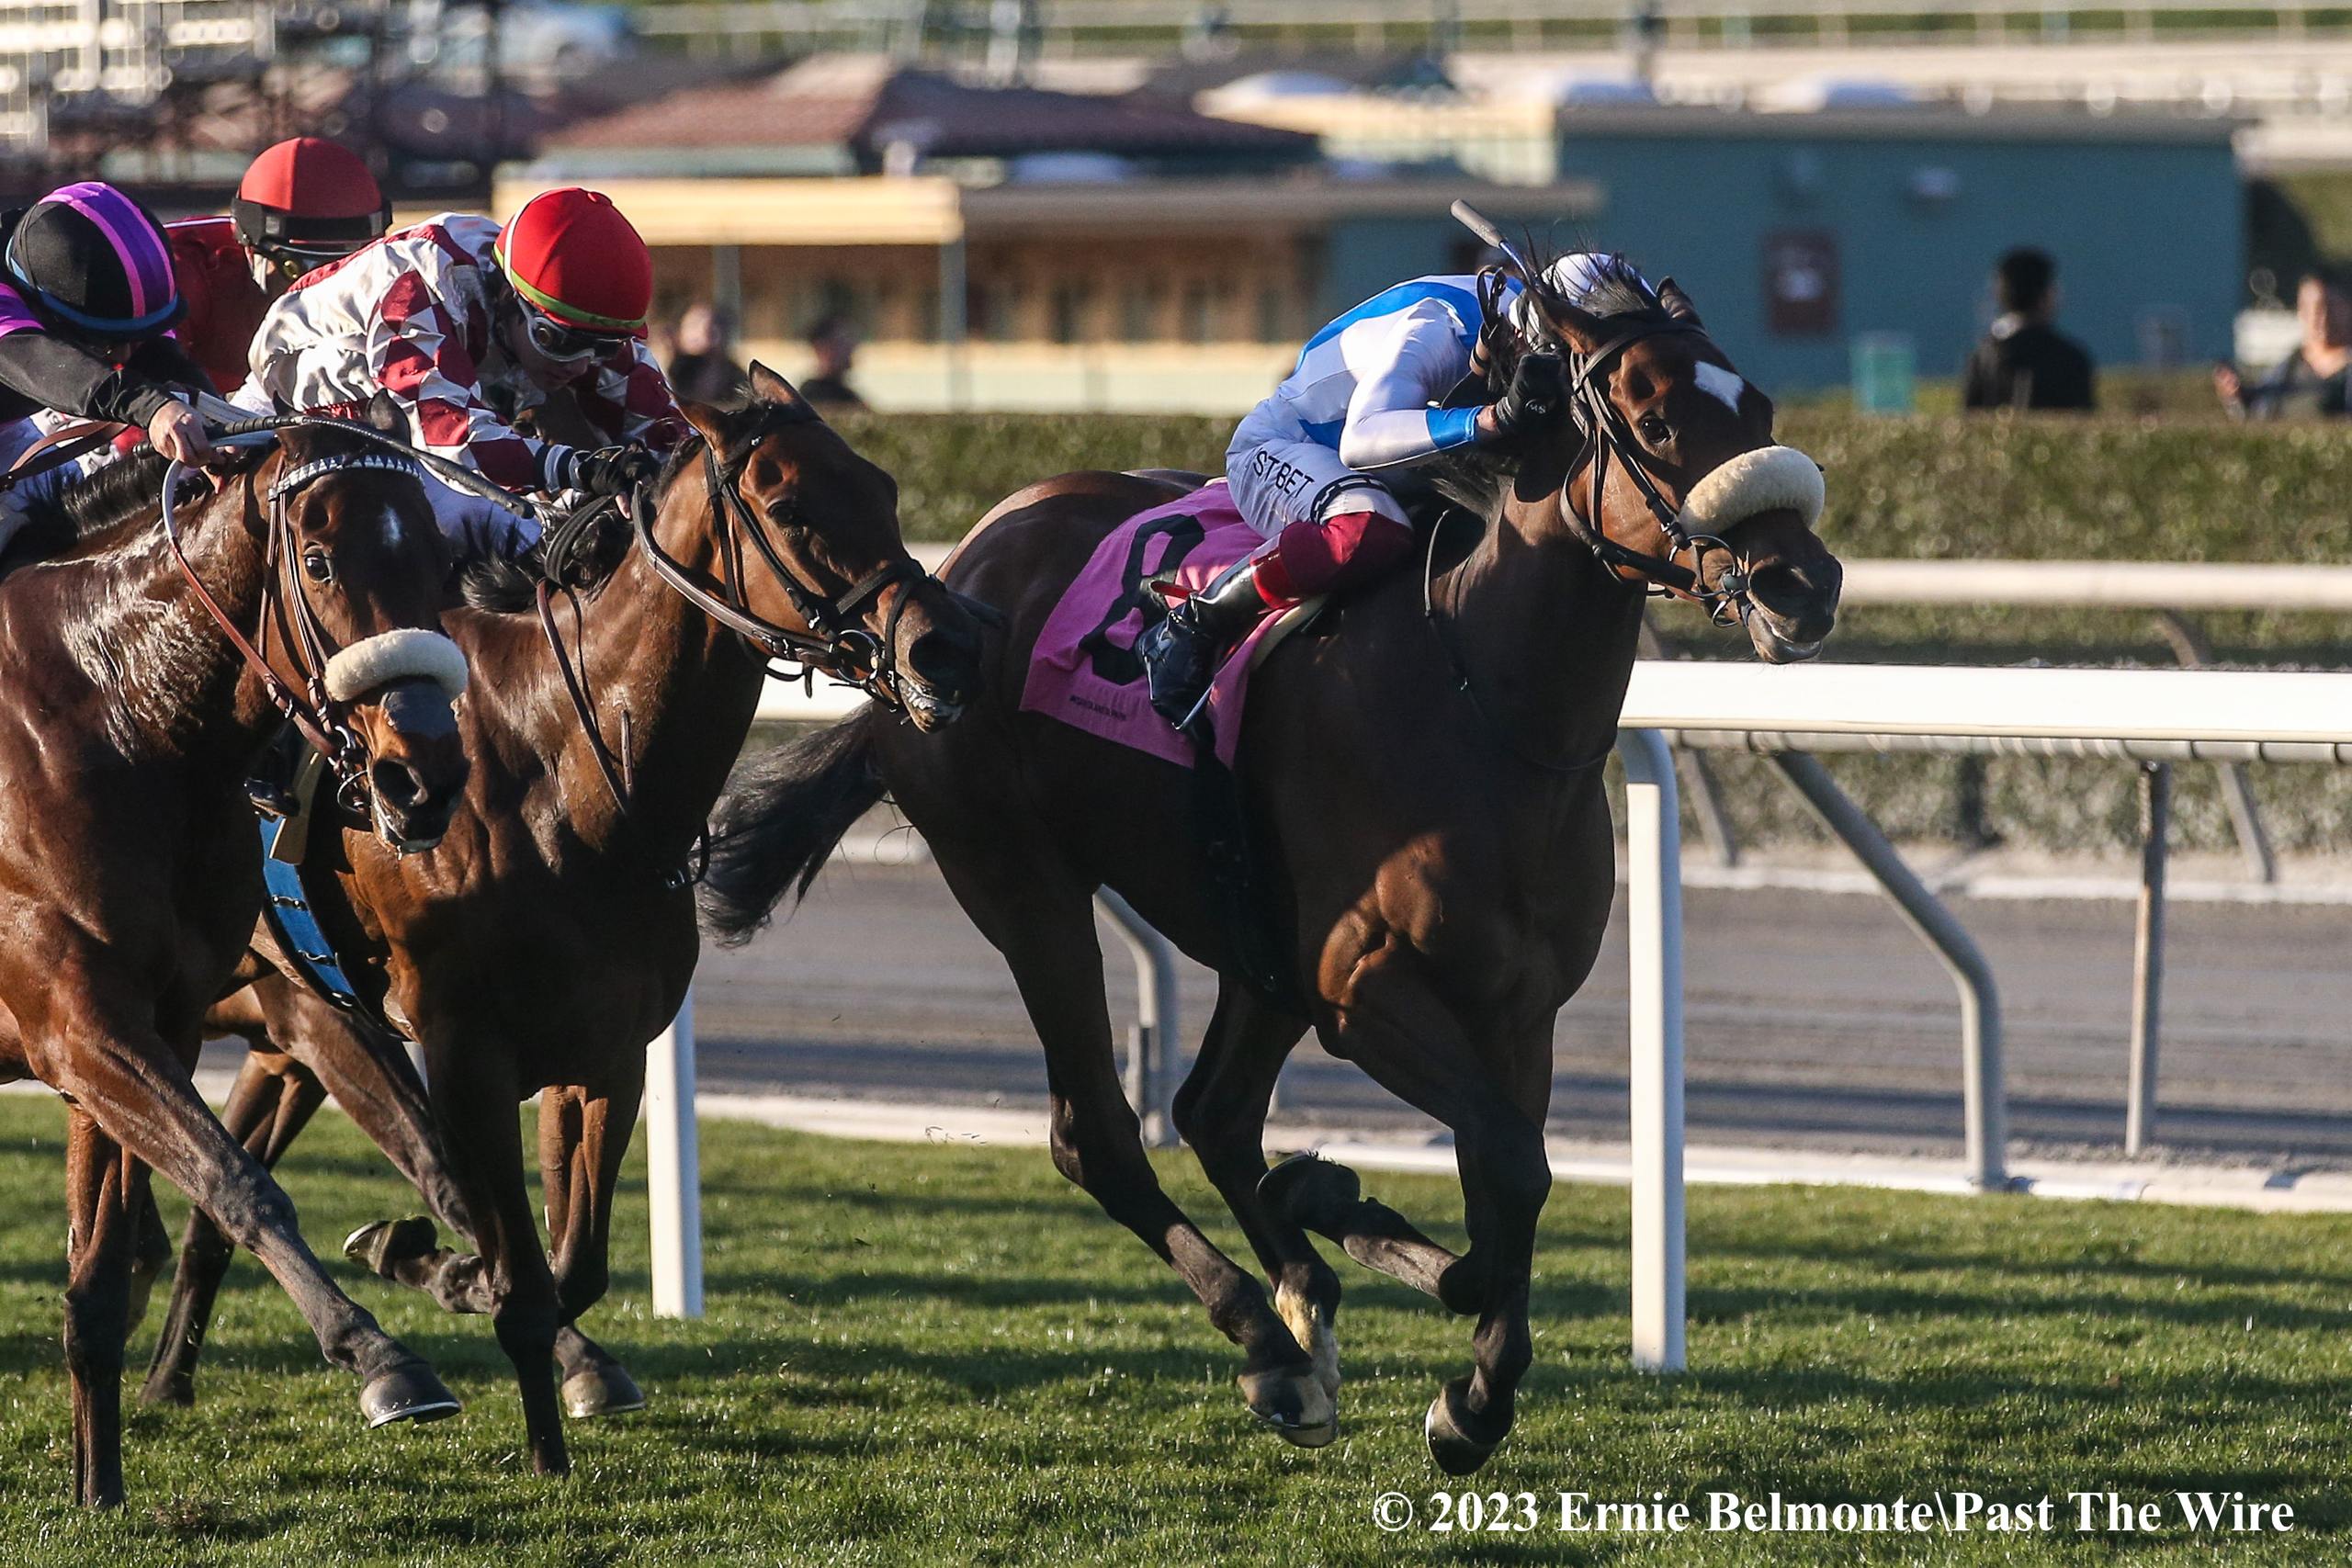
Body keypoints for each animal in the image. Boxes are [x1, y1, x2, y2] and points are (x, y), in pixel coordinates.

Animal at [0, 411, 473, 1506]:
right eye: (322, 559)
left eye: (440, 560)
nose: (424, 775)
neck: (116, 711)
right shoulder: (74, 1020)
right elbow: (238, 1182)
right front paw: (385, 1360)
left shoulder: (155, 1021)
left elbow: (104, 1274)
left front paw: (99, 1490)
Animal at [135, 367, 988, 1478]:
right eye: (792, 505)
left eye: (885, 489)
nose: (948, 647)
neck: (562, 771)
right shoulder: (468, 1049)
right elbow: (517, 1263)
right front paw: (536, 1432)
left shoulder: (604, 1050)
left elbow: (569, 1265)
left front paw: (466, 1292)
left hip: (292, 1017)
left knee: (220, 1195)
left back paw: (176, 1374)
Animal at [698, 270, 1844, 1473]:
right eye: (1657, 423)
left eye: (1758, 409)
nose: (1802, 584)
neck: (1479, 700)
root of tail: (945, 589)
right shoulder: (1359, 991)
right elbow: (1507, 1168)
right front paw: (1417, 1315)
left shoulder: (1514, 1007)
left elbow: (1509, 1176)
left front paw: (1453, 1369)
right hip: (1022, 881)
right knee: (1099, 1132)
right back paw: (1269, 1344)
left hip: (1253, 941)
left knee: (1211, 1110)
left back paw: (1300, 1289)